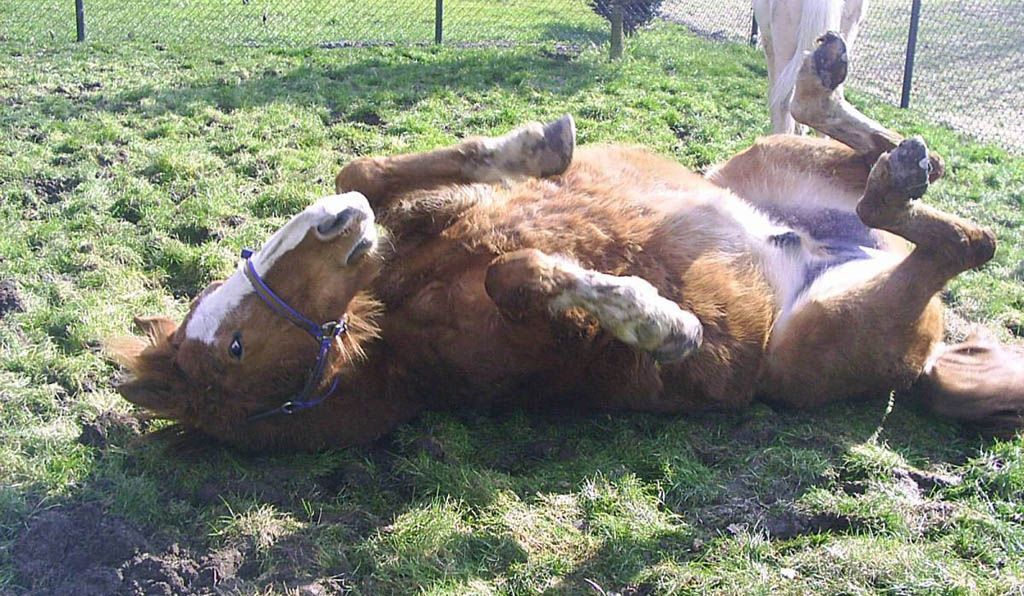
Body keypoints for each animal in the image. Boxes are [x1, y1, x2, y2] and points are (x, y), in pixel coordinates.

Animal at [110, 33, 1024, 451]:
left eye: (224, 327)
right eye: (233, 348)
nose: (335, 225)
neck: (396, 323)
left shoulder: (434, 218)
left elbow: (364, 164)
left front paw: (536, 146)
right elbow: (517, 276)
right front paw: (664, 323)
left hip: (760, 162)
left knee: (901, 168)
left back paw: (851, 107)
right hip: (828, 337)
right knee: (960, 243)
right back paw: (893, 183)